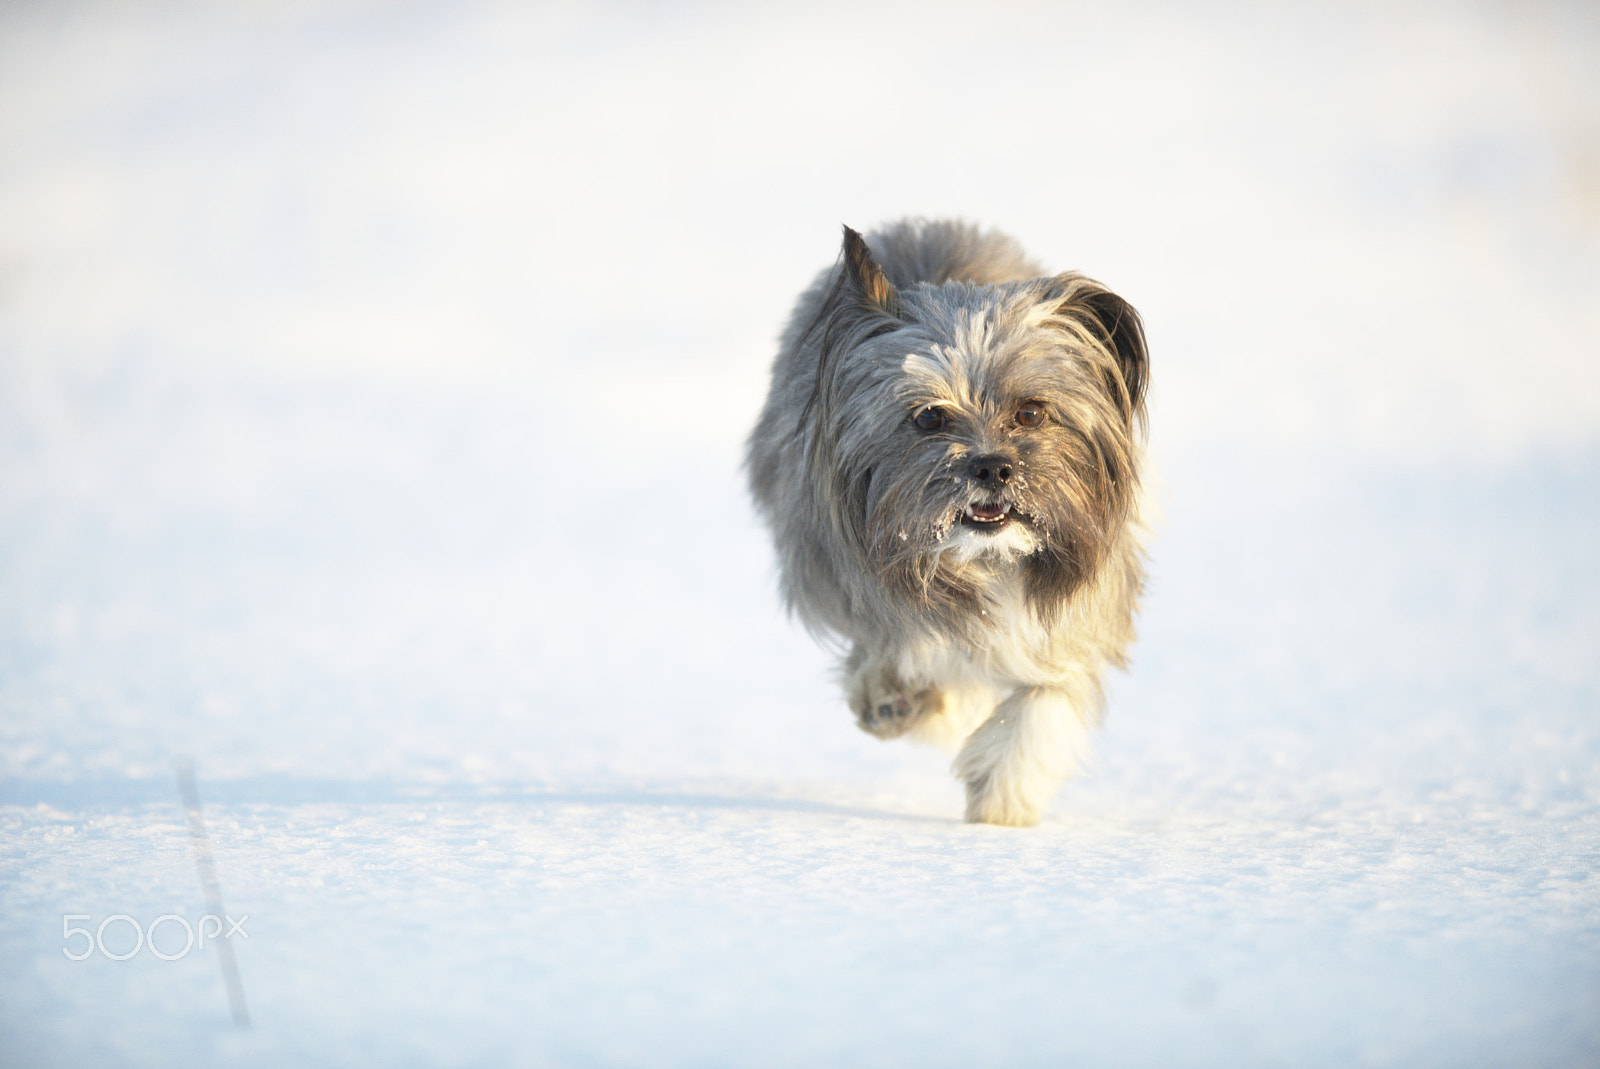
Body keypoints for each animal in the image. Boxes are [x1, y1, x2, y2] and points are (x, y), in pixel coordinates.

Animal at [748, 220, 1152, 825]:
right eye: (929, 416)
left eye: (1031, 411)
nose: (992, 467)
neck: (985, 560)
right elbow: (908, 640)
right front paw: (894, 696)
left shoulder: (1076, 612)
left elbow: (1045, 699)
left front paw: (1002, 795)